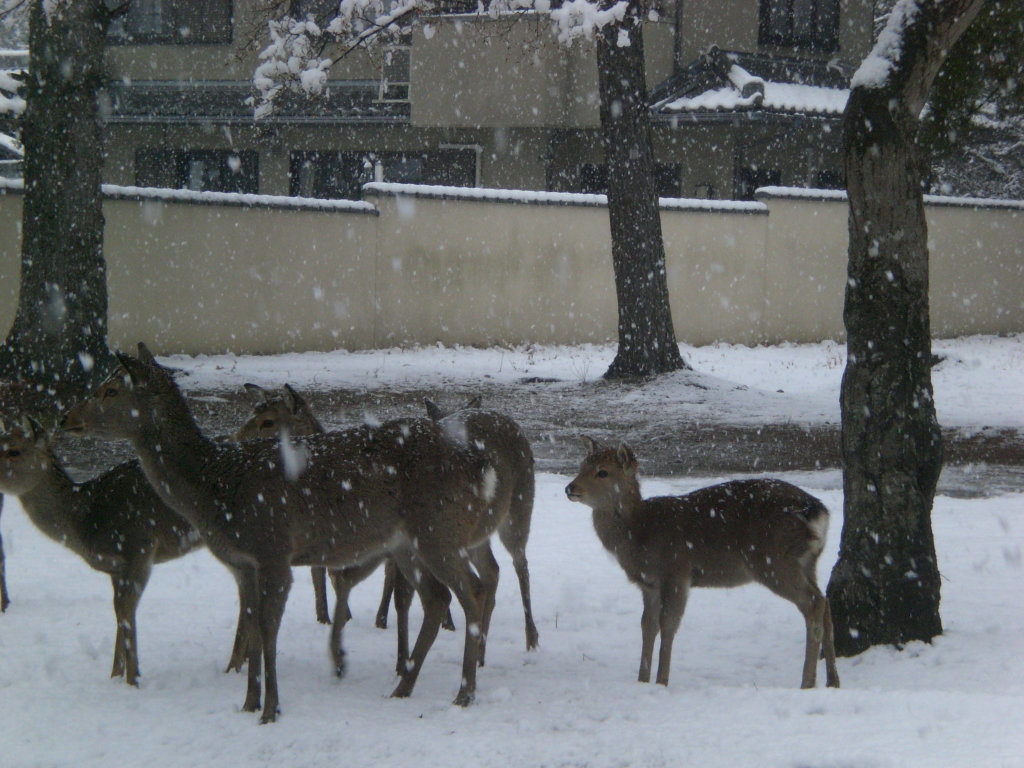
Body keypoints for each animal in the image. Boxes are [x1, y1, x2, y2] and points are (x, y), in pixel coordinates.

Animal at [62, 343, 508, 723]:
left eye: (111, 389)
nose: (66, 417)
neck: (216, 486)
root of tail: (481, 464)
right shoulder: (244, 563)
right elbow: (252, 626)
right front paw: (248, 702)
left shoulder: (273, 548)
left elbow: (266, 627)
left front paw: (270, 709)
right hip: (406, 543)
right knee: (437, 598)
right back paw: (404, 687)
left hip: (437, 531)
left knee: (471, 590)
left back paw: (464, 692)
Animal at [565, 438, 840, 690]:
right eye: (581, 465)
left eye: (602, 472)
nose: (569, 488)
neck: (640, 532)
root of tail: (817, 512)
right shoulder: (649, 584)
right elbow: (647, 625)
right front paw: (642, 680)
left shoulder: (677, 572)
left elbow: (668, 625)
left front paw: (662, 682)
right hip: (807, 561)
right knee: (825, 601)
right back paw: (832, 681)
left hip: (772, 561)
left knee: (813, 603)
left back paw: (807, 683)